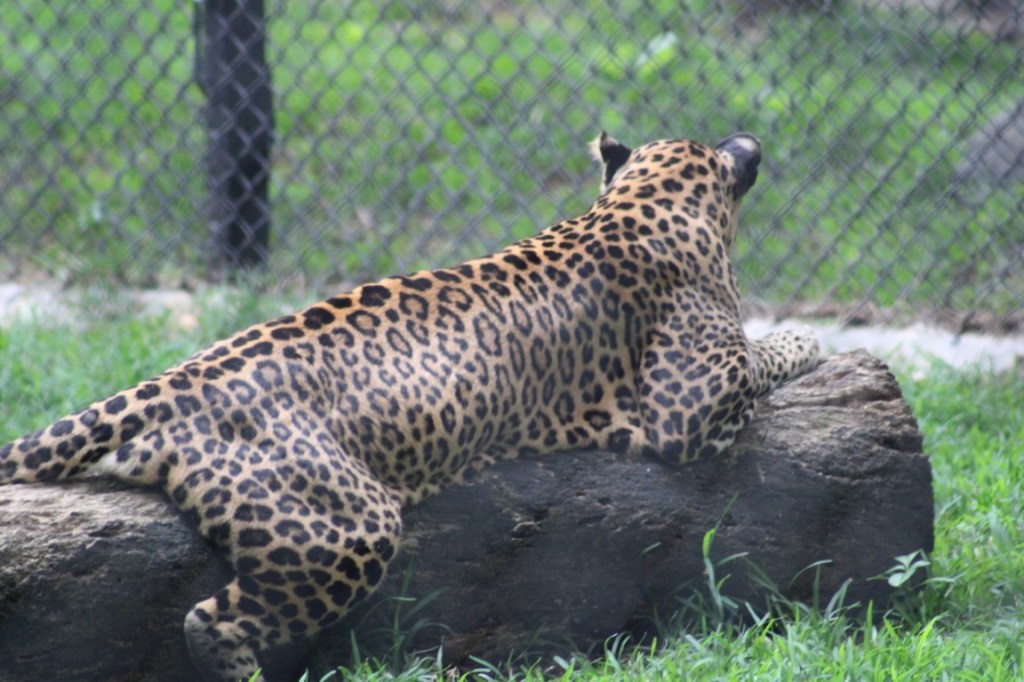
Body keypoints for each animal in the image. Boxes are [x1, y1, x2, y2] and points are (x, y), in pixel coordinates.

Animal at [0, 131, 820, 681]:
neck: (643, 199)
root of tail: (174, 379)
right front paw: (806, 339)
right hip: (348, 525)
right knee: (211, 619)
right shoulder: (690, 406)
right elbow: (760, 354)